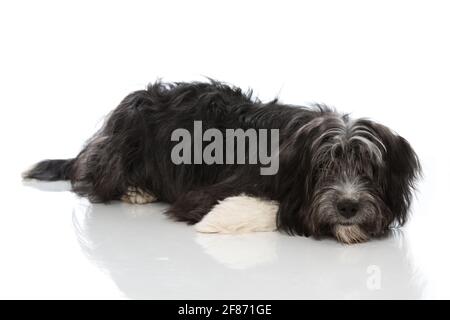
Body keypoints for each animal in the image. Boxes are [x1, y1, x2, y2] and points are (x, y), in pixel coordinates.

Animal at [24, 81, 420, 244]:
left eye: (368, 169)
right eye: (323, 166)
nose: (348, 206)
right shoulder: (202, 194)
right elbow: (272, 208)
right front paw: (221, 220)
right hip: (129, 125)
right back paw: (136, 190)